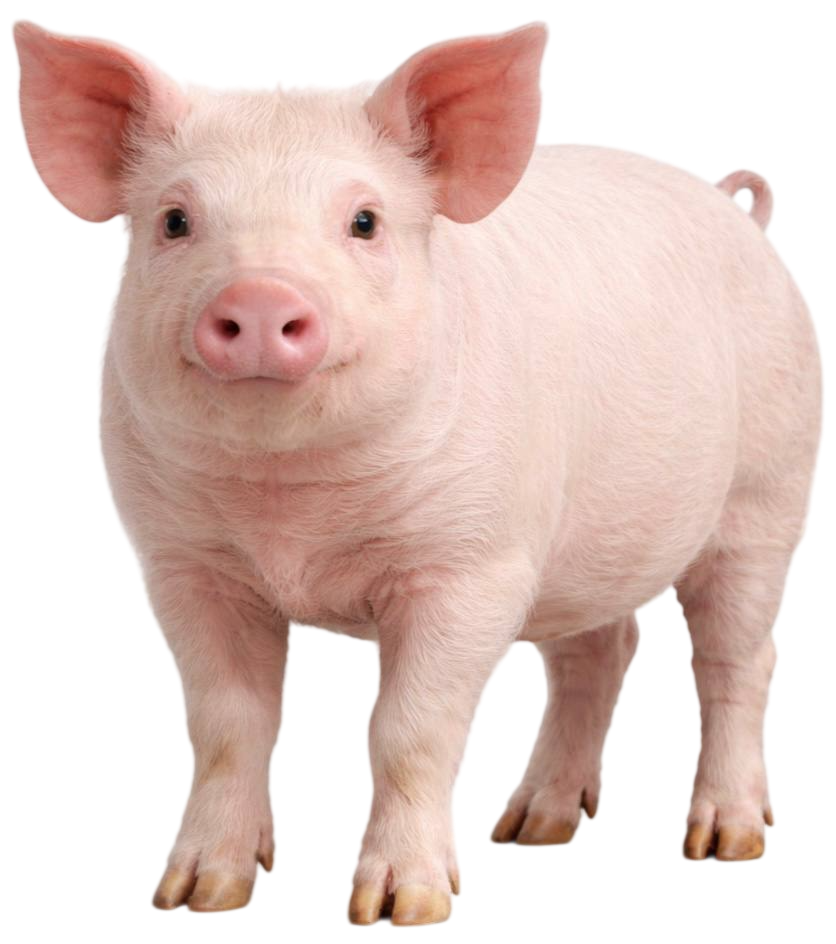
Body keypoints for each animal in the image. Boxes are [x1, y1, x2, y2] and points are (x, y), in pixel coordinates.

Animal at [11, 15, 825, 925]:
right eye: (176, 220)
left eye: (365, 221)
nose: (259, 296)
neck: (289, 509)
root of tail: (737, 209)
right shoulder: (178, 564)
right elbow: (228, 723)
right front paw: (197, 896)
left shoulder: (474, 565)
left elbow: (407, 728)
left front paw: (401, 909)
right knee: (603, 649)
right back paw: (532, 830)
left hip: (773, 490)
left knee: (737, 659)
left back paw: (725, 842)